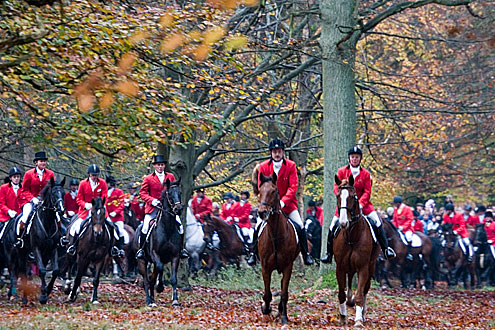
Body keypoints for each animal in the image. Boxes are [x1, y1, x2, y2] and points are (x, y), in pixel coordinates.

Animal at [133, 179, 183, 308]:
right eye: (169, 193)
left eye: (179, 192)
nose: (179, 209)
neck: (167, 228)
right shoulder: (155, 254)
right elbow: (159, 269)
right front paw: (159, 286)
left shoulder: (175, 256)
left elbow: (173, 278)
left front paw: (175, 300)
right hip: (142, 261)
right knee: (146, 280)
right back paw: (149, 300)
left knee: (153, 275)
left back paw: (153, 299)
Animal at [252, 171, 298, 324]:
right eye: (260, 191)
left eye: (274, 191)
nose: (262, 212)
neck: (276, 235)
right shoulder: (265, 267)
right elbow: (267, 293)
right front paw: (266, 309)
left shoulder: (288, 267)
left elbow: (284, 293)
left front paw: (284, 317)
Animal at [334, 175, 380, 328]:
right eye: (338, 196)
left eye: (352, 196)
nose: (343, 223)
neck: (352, 236)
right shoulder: (340, 268)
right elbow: (341, 293)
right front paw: (343, 317)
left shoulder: (363, 268)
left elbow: (360, 294)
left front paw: (358, 320)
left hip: (371, 266)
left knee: (365, 289)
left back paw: (363, 314)